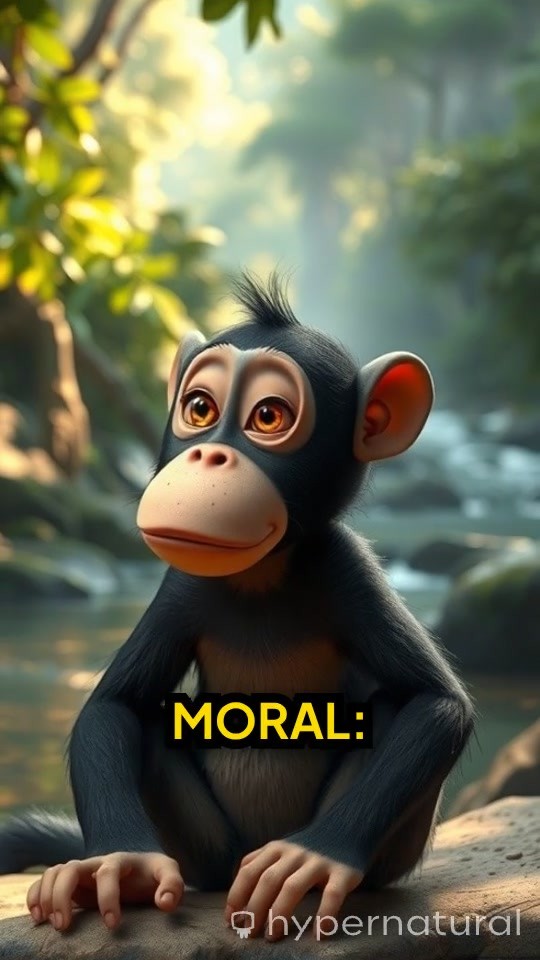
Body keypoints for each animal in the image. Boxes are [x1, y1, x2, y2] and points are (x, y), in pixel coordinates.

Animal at [0, 273, 474, 941]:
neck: (260, 575)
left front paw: (313, 857)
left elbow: (436, 705)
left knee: (389, 711)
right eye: (199, 409)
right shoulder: (181, 585)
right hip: (206, 855)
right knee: (153, 721)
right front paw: (118, 863)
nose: (206, 456)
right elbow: (113, 707)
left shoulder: (347, 569)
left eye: (268, 416)